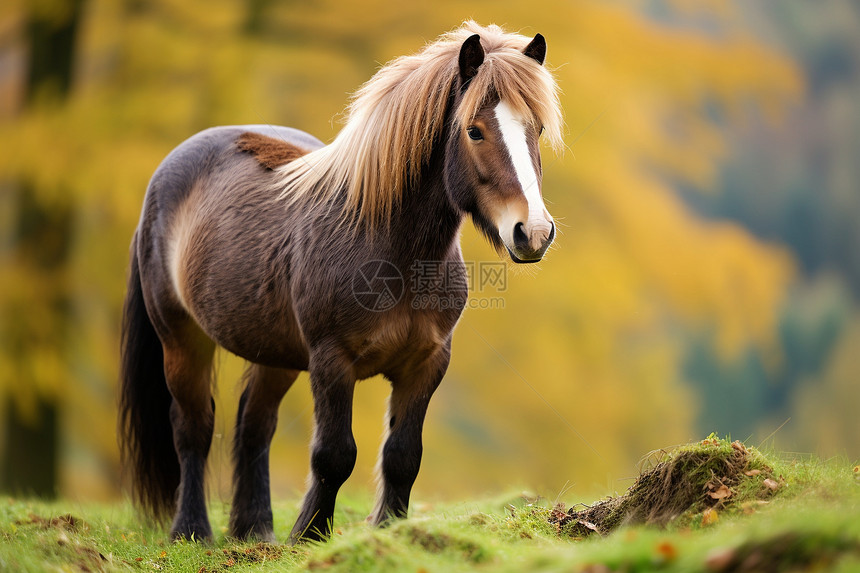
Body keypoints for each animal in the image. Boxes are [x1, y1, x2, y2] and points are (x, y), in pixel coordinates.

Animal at [121, 21, 564, 540]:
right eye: (474, 130)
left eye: (536, 129)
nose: (533, 232)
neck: (392, 252)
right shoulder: (332, 362)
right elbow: (334, 455)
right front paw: (311, 532)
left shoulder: (427, 363)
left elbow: (403, 457)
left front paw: (388, 531)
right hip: (182, 337)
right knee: (192, 425)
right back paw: (192, 530)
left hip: (276, 354)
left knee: (254, 424)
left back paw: (256, 530)